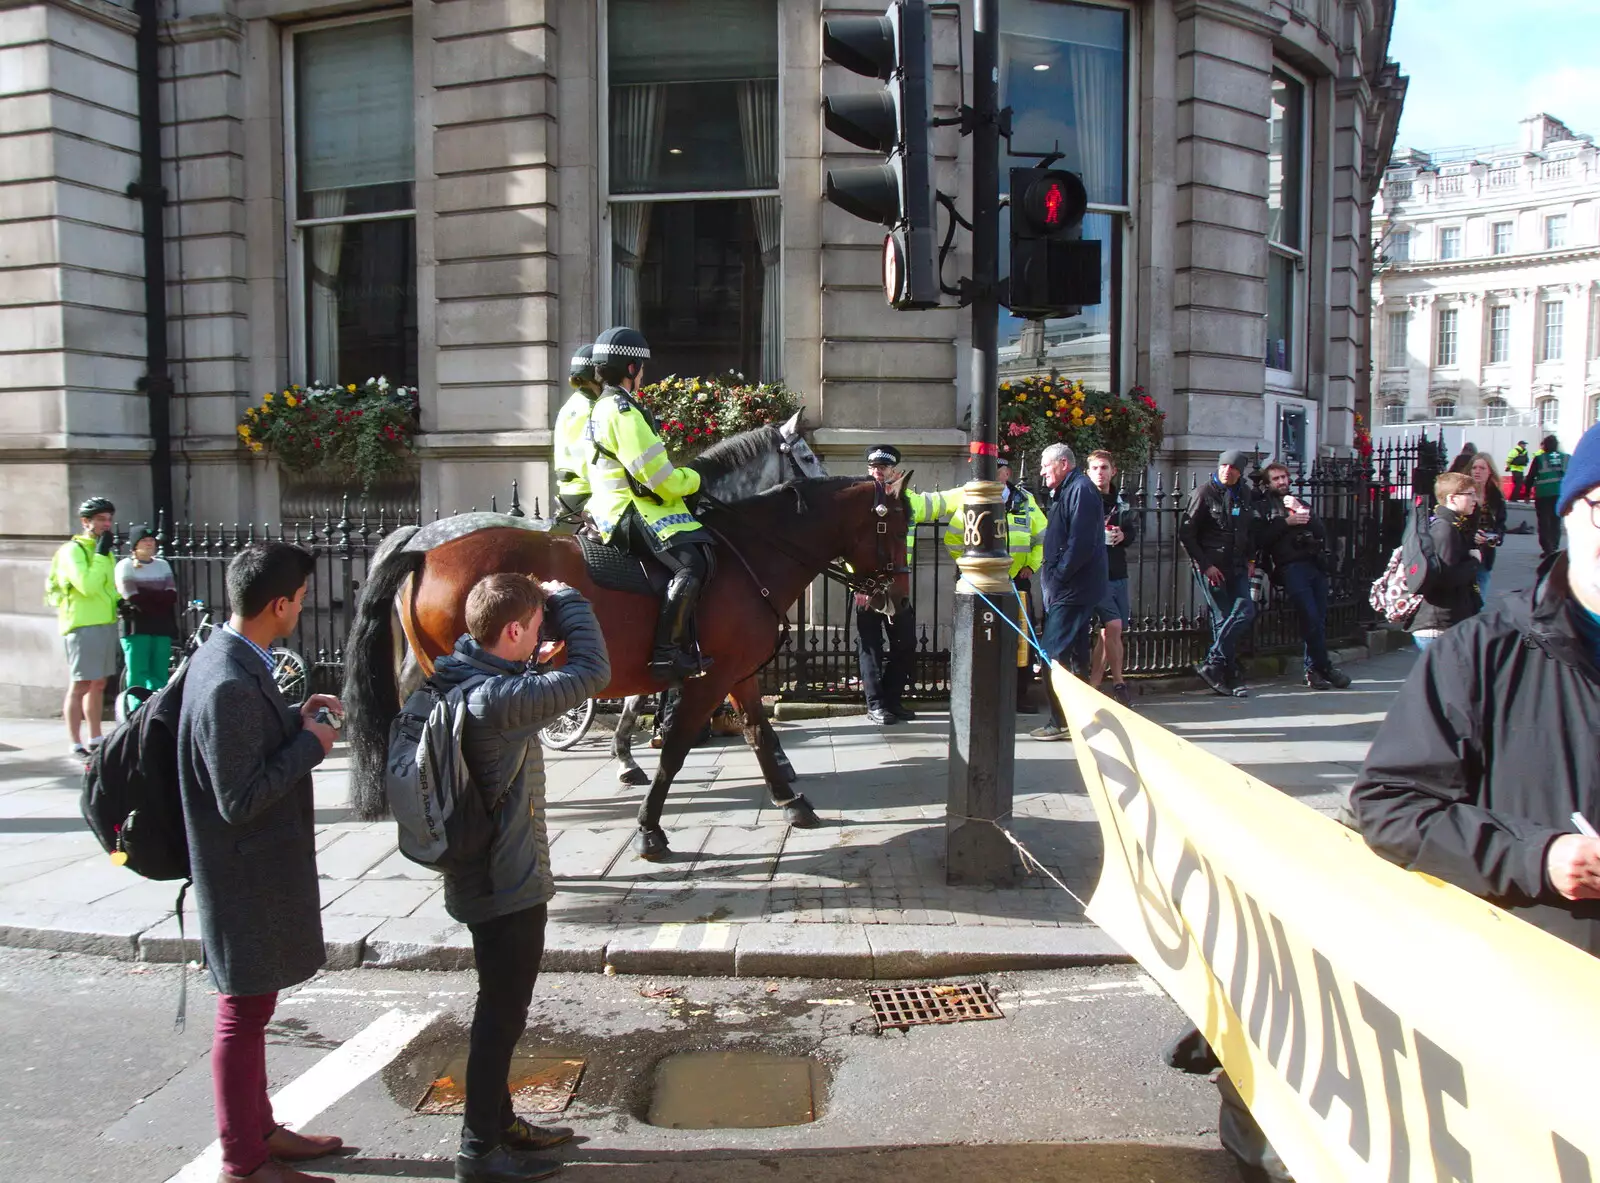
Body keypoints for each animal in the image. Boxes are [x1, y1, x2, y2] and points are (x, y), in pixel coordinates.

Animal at [342, 470, 908, 858]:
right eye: (898, 525)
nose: (898, 599)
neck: (751, 555)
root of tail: (423, 549)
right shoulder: (709, 679)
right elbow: (675, 751)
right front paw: (649, 828)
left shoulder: (739, 674)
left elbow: (757, 734)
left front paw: (791, 801)